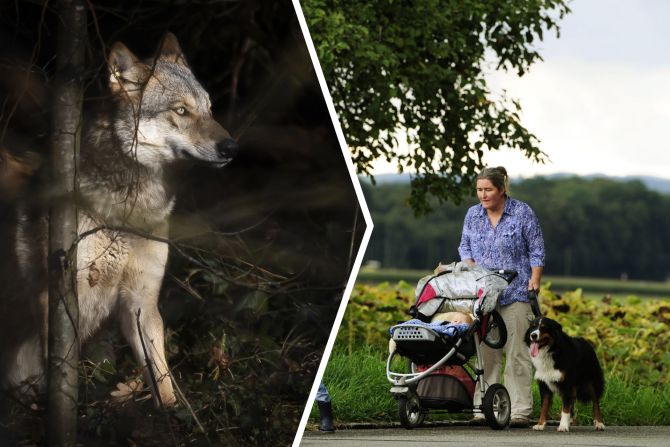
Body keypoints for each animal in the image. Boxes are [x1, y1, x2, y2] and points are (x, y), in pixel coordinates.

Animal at [0, 33, 238, 406]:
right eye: (180, 110)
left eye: (209, 109)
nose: (231, 148)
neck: (128, 210)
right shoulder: (55, 299)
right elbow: (61, 377)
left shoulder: (141, 302)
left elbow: (163, 380)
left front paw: (172, 416)